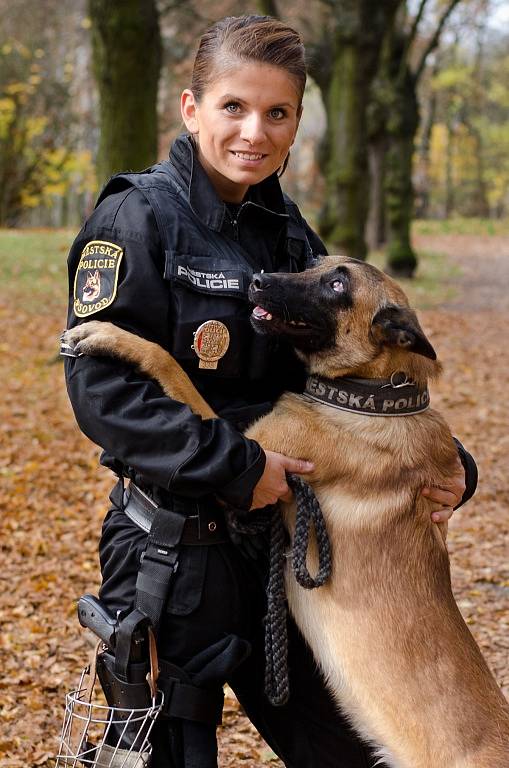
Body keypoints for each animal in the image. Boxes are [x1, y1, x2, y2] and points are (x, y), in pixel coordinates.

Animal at [63, 255, 508, 764]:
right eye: (314, 263)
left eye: (336, 285)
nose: (257, 280)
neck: (374, 394)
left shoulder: (254, 445)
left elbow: (170, 364)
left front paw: (110, 335)